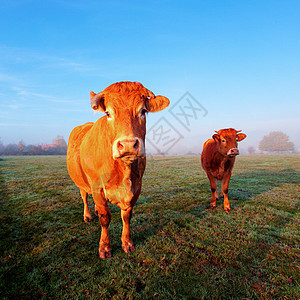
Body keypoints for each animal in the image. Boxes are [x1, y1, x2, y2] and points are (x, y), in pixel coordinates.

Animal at [67, 81, 170, 258]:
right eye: (108, 113)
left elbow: (127, 216)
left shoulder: (136, 187)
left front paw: (127, 243)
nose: (128, 144)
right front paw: (104, 247)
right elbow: (105, 218)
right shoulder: (97, 187)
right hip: (82, 182)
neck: (123, 172)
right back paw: (88, 215)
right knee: (84, 196)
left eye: (143, 111)